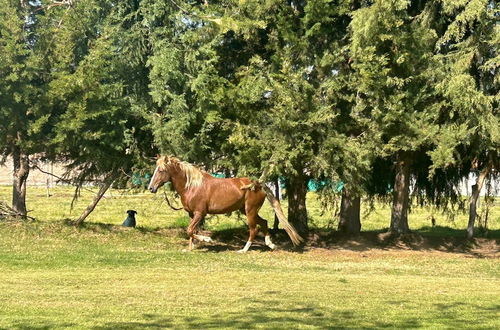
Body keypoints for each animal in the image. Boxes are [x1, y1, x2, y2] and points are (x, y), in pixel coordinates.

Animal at [146, 156, 302, 251]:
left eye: (161, 170)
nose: (151, 188)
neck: (192, 186)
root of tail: (258, 184)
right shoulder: (191, 214)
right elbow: (191, 231)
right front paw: (190, 249)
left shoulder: (200, 213)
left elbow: (190, 230)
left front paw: (208, 239)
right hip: (246, 210)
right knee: (264, 222)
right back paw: (271, 244)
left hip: (250, 211)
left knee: (253, 229)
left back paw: (243, 250)